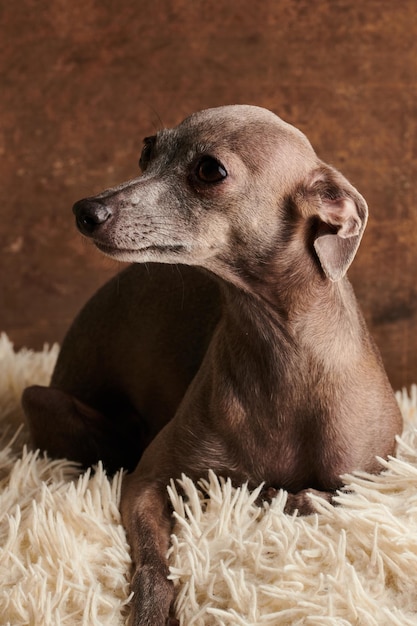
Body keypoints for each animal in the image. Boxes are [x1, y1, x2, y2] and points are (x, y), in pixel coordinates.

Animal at [22, 107, 400, 624]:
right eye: (147, 151)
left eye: (210, 170)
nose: (86, 211)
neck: (284, 354)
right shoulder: (147, 482)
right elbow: (154, 560)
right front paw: (152, 609)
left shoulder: (379, 477)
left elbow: (329, 494)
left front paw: (279, 496)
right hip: (45, 403)